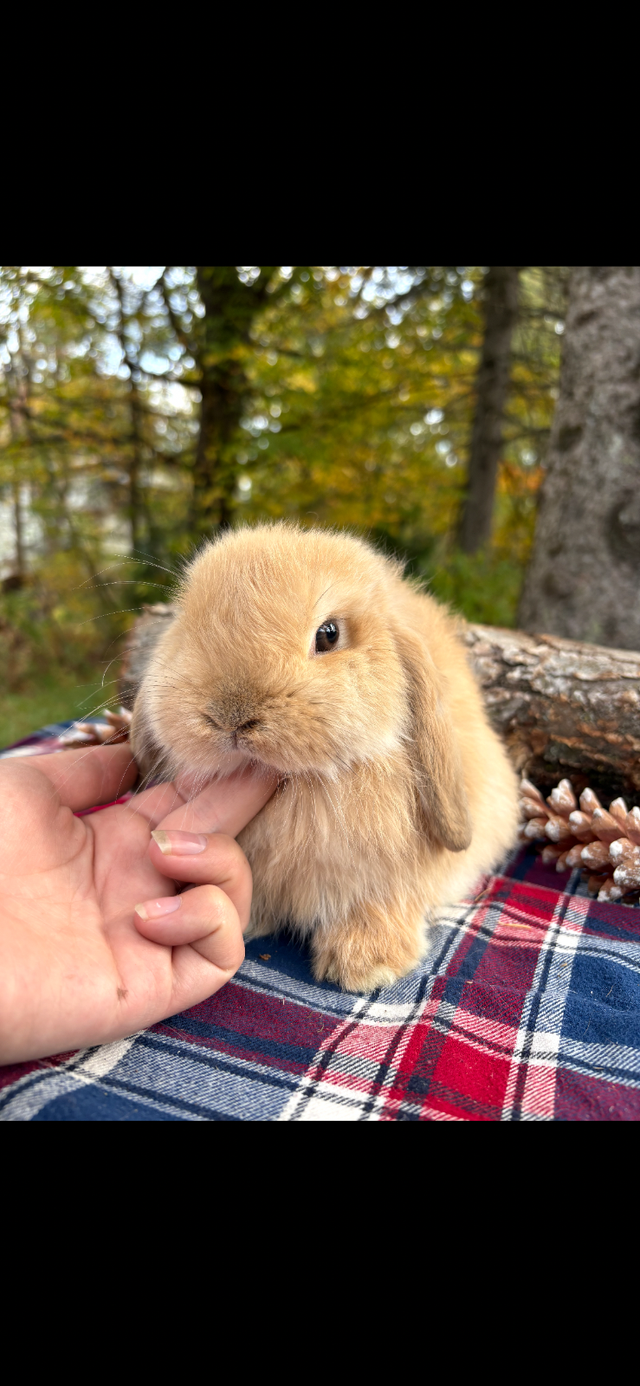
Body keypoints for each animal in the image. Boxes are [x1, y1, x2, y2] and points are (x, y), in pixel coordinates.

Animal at [130, 523, 519, 992]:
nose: (231, 715)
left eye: (329, 634)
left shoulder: (384, 879)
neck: (304, 786)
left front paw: (367, 966)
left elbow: (380, 902)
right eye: (187, 627)